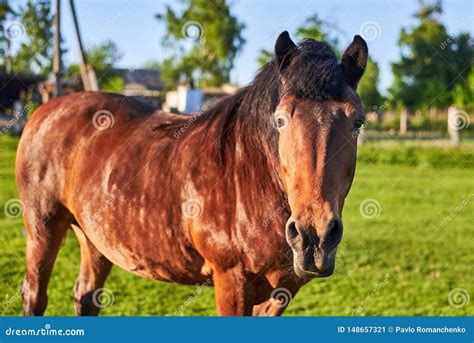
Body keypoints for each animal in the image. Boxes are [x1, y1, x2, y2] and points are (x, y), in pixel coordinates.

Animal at [16, 32, 368, 318]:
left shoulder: (280, 293)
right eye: (280, 120)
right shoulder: (232, 282)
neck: (249, 179)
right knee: (35, 296)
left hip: (94, 238)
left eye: (358, 122)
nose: (314, 236)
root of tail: (45, 110)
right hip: (43, 229)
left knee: (86, 297)